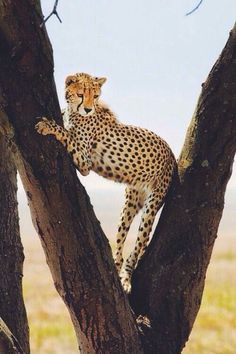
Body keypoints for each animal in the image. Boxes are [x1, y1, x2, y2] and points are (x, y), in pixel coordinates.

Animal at [34, 72, 175, 294]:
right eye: (81, 94)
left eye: (96, 95)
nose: (88, 109)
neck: (77, 111)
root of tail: (172, 154)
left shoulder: (84, 163)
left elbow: (65, 134)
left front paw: (49, 125)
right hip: (130, 204)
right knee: (121, 241)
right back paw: (116, 269)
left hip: (151, 206)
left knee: (138, 245)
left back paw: (125, 279)